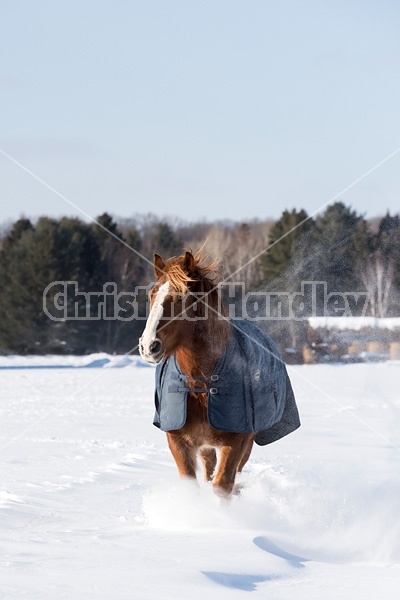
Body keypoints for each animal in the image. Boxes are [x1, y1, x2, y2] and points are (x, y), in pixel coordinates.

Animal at [139, 248, 255, 496]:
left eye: (181, 297)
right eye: (152, 294)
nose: (148, 346)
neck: (199, 385)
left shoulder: (237, 441)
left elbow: (222, 485)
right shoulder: (178, 441)